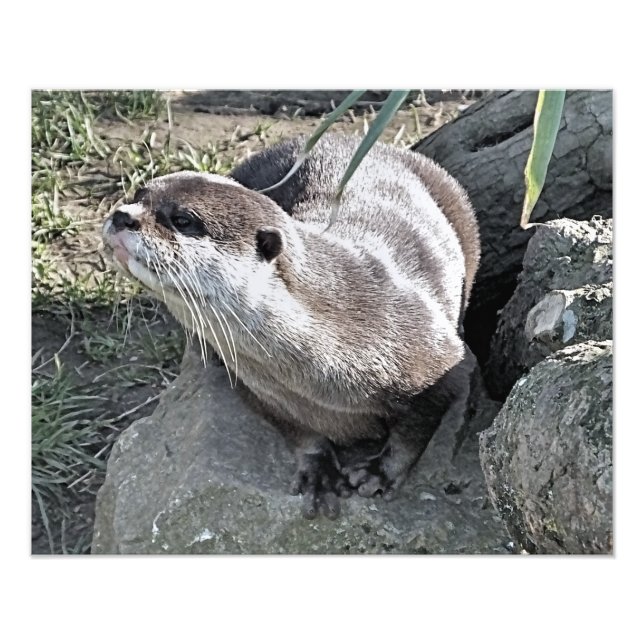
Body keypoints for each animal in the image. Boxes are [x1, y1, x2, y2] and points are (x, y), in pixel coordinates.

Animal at [102, 134, 480, 519]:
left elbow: (418, 427)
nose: (122, 215)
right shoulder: (259, 389)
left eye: (182, 219)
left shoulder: (437, 359)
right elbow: (296, 430)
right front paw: (318, 470)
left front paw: (380, 472)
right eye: (138, 193)